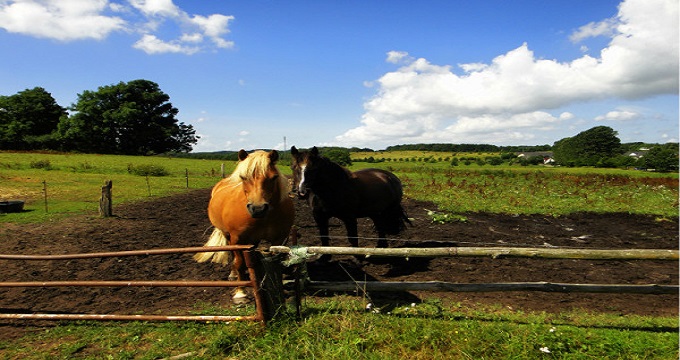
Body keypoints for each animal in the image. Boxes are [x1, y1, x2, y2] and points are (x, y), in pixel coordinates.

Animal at [194, 148, 294, 302]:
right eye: (243, 177)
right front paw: (240, 293)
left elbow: (277, 262)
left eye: (273, 177)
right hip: (228, 236)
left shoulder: (280, 239)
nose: (258, 208)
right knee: (234, 257)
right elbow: (239, 263)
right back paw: (234, 274)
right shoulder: (237, 240)